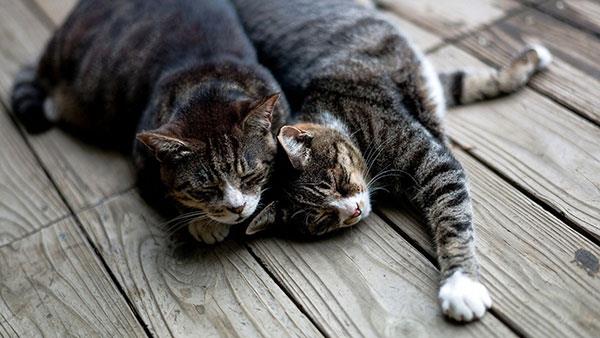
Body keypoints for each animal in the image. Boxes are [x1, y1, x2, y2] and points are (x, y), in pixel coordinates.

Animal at [10, 0, 290, 243]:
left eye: (250, 175)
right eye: (205, 188)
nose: (237, 208)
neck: (208, 81)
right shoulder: (144, 161)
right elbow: (168, 192)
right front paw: (204, 223)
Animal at [232, 0, 552, 322]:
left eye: (337, 182)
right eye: (322, 220)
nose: (353, 211)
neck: (344, 118)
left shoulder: (433, 160)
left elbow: (453, 220)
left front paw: (461, 286)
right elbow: (468, 84)